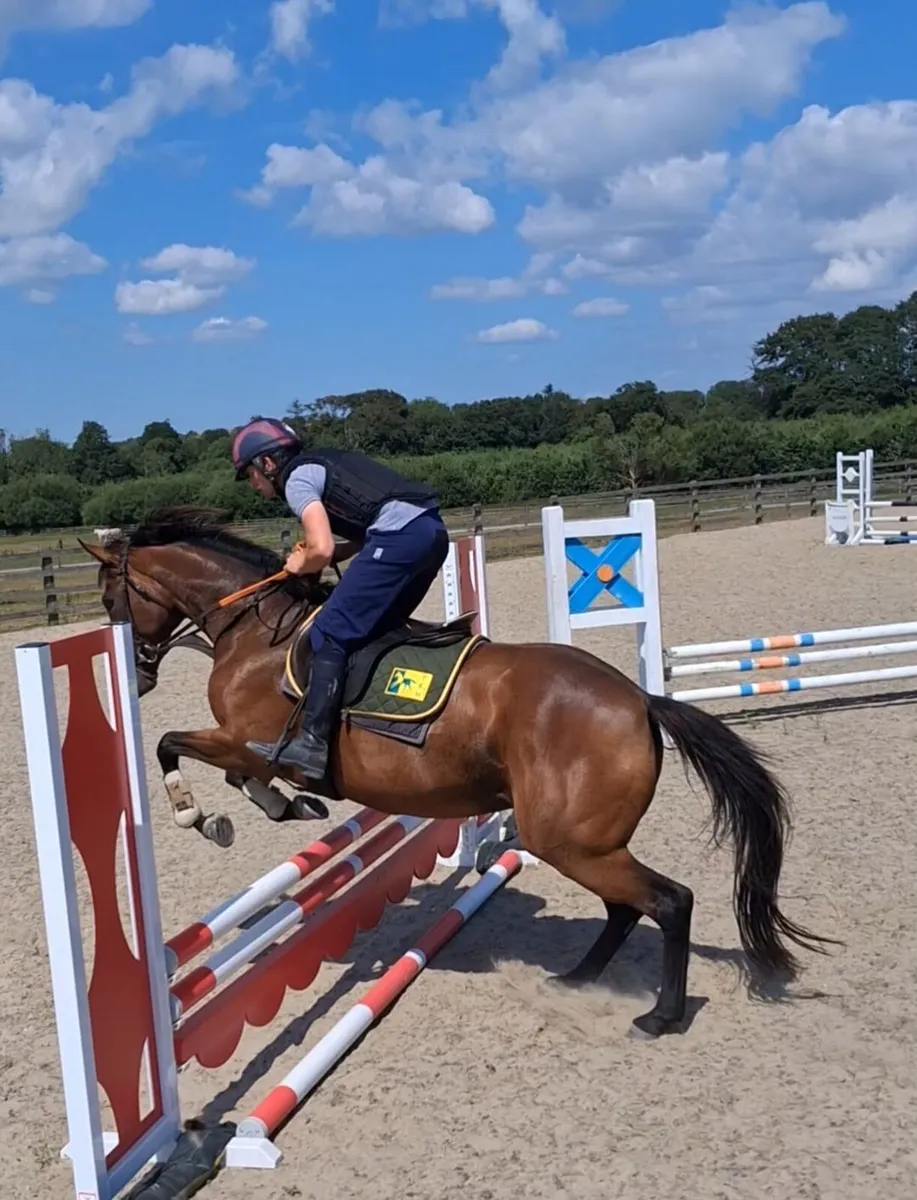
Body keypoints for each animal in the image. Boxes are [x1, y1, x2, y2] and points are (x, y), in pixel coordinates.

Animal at [79, 506, 835, 1038]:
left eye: (114, 600)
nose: (135, 679)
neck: (254, 631)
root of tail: (638, 700)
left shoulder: (244, 742)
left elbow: (171, 747)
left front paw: (204, 814)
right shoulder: (244, 747)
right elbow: (230, 772)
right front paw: (288, 806)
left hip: (570, 840)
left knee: (667, 901)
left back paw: (658, 1014)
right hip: (583, 842)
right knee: (627, 907)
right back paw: (578, 979)